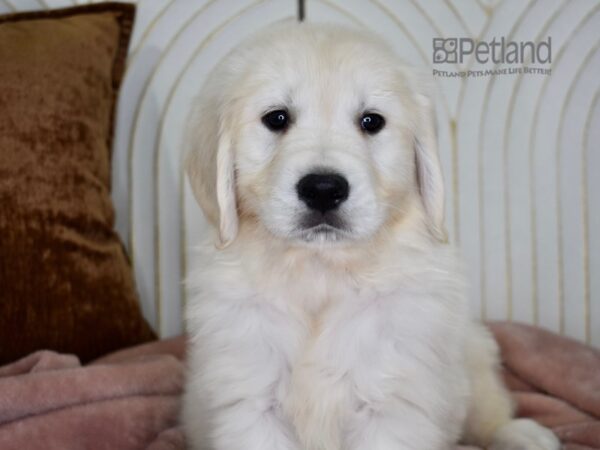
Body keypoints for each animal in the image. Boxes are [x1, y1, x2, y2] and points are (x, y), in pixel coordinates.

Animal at [182, 22, 556, 450]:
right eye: (276, 118)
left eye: (371, 122)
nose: (323, 189)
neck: (320, 271)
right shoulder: (252, 400)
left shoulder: (390, 398)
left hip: (472, 353)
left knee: (489, 411)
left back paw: (522, 434)